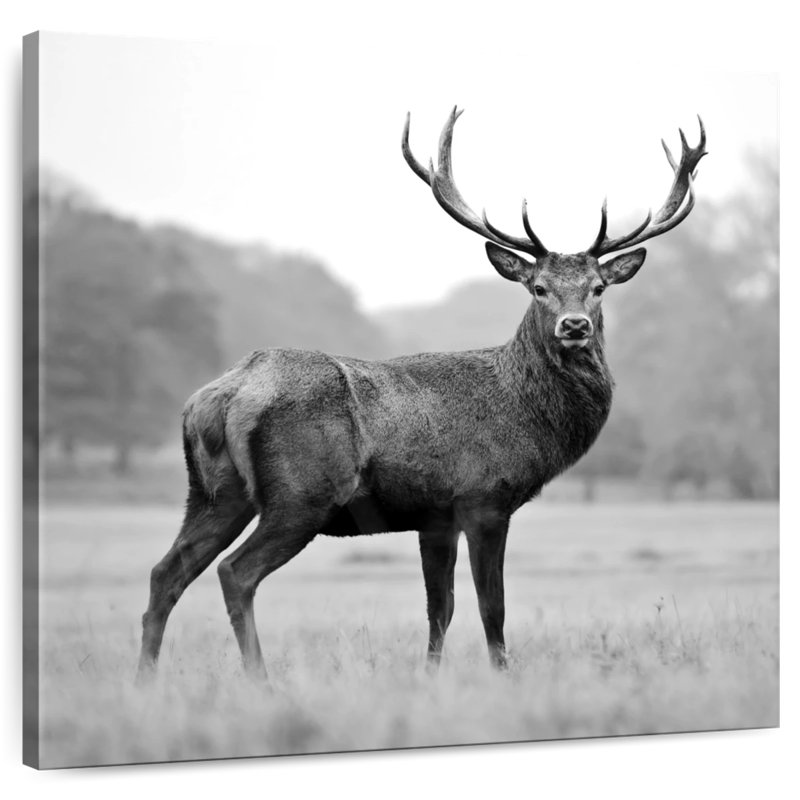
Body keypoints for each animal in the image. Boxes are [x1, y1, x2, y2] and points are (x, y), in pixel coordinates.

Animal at [137, 108, 706, 681]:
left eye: (598, 287)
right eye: (538, 287)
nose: (574, 326)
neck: (525, 416)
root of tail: (222, 395)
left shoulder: (435, 517)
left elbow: (441, 608)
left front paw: (430, 678)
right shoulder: (483, 498)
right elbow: (491, 607)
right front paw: (502, 676)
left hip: (214, 491)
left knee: (165, 572)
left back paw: (146, 681)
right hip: (301, 494)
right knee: (235, 572)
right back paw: (260, 681)